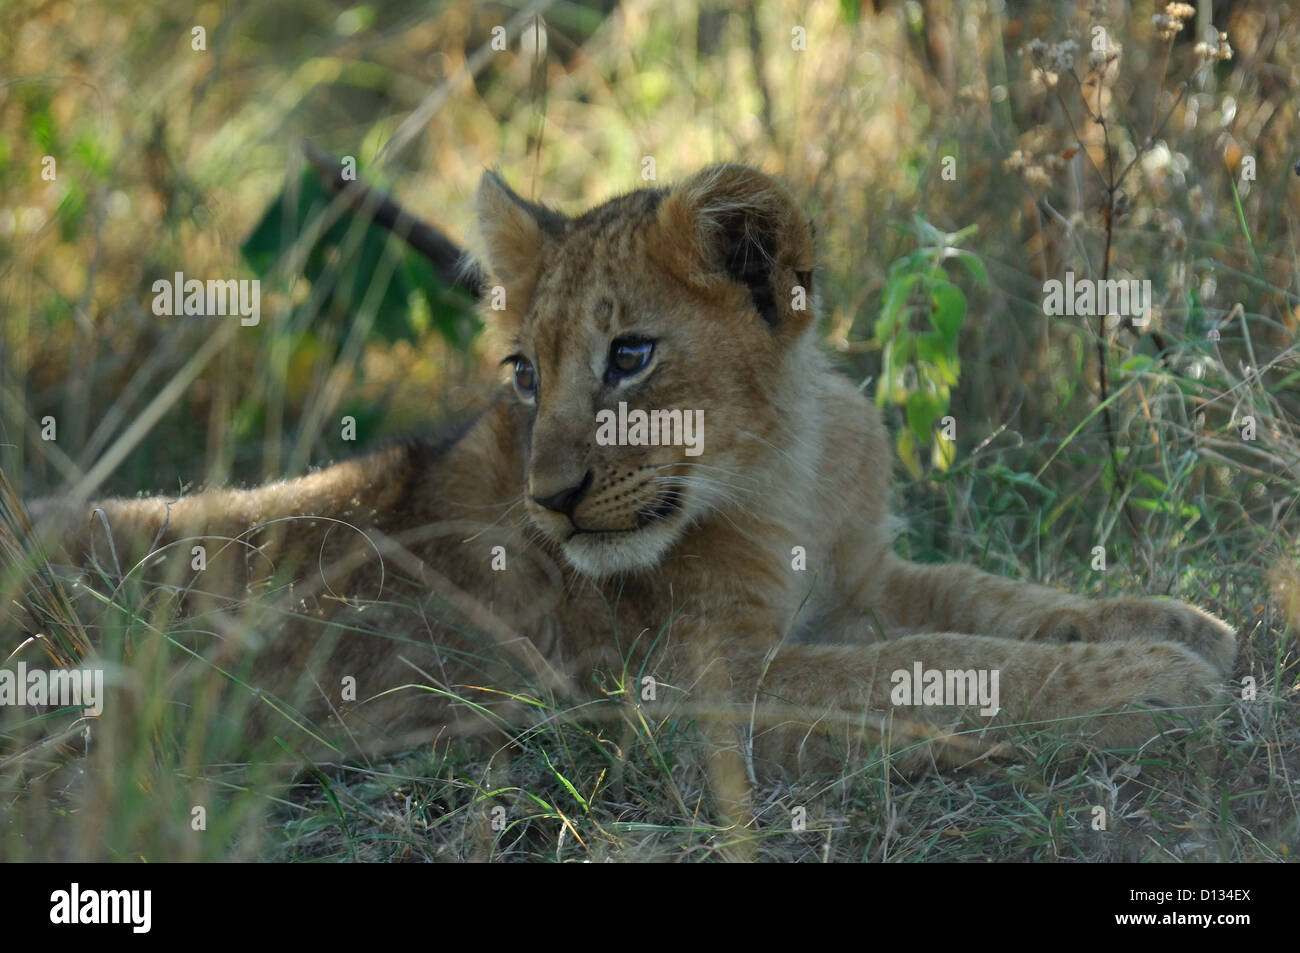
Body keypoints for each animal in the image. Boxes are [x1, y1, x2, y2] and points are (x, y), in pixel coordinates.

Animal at [21, 163, 1237, 790]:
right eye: (524, 372)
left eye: (630, 357)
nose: (550, 500)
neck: (782, 472)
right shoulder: (695, 688)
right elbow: (933, 662)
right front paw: (1152, 678)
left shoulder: (863, 574)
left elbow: (990, 600)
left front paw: (1178, 619)